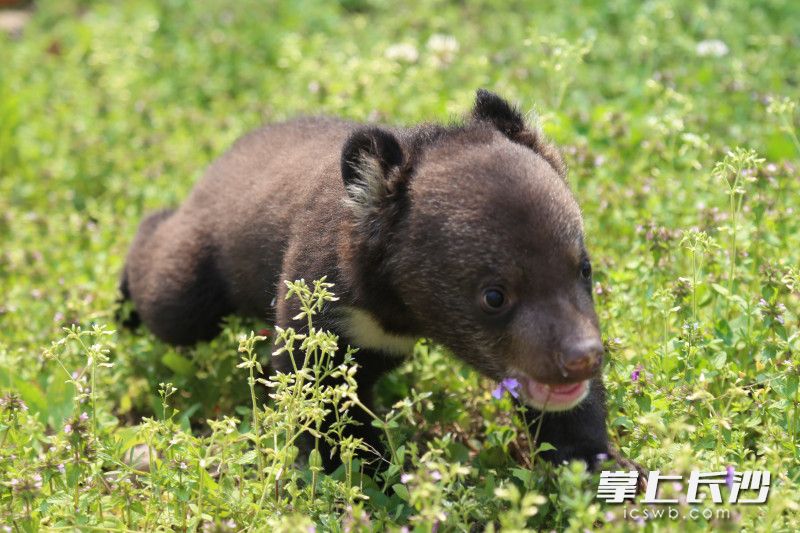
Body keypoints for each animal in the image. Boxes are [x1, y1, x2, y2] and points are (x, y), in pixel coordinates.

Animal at [121, 89, 642, 478]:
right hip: (197, 277)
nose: (583, 359)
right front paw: (376, 476)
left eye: (584, 268)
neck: (402, 311)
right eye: (494, 296)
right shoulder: (324, 301)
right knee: (166, 285)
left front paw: (600, 466)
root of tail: (215, 166)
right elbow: (320, 392)